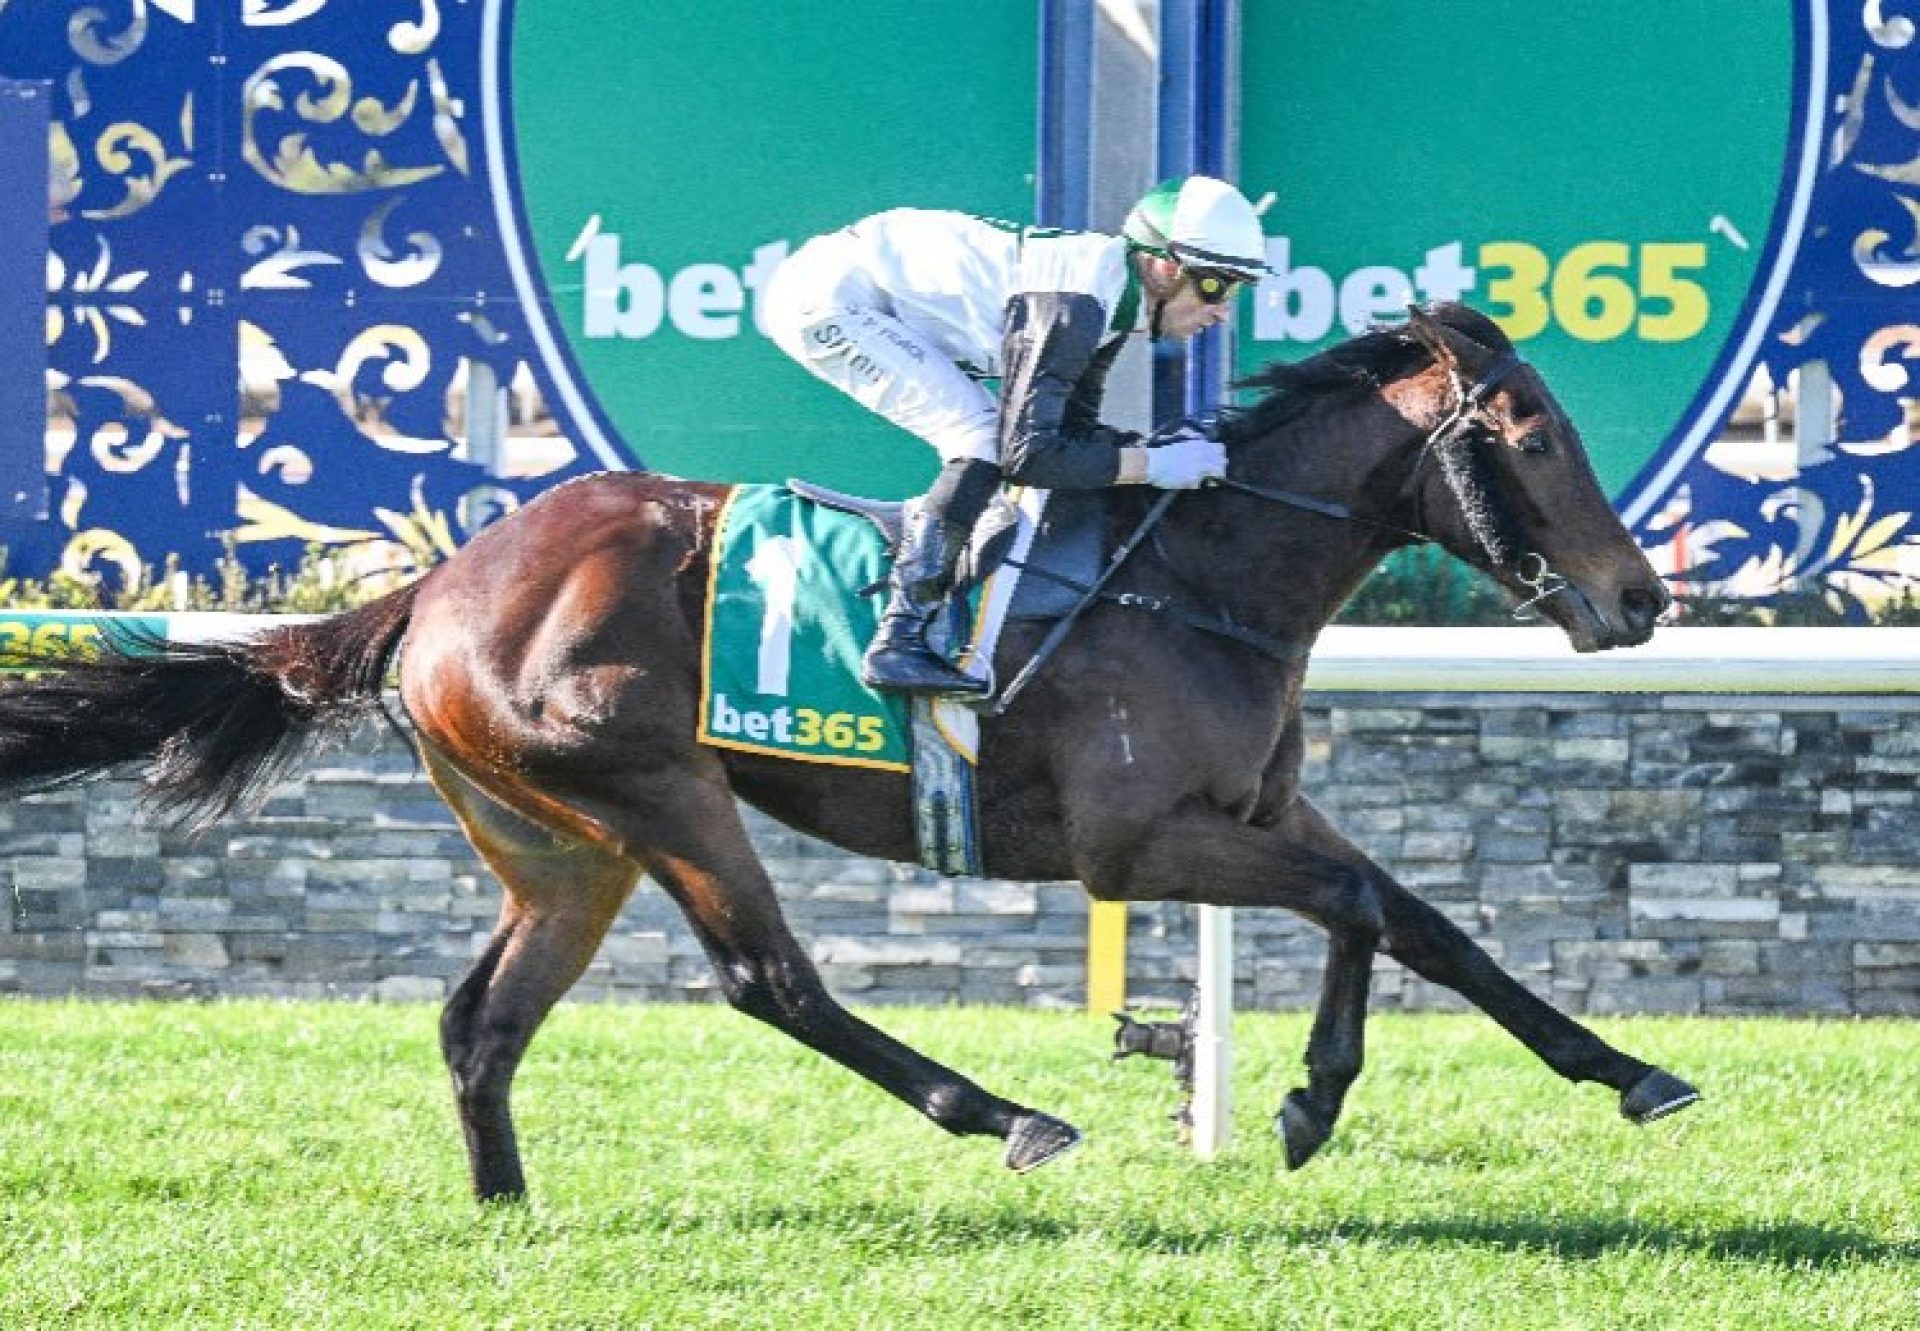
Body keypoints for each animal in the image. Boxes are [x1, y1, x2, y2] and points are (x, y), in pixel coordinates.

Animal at [0, 305, 1689, 1198]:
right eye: (1529, 433)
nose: (1641, 598)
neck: (1197, 574)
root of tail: (441, 579)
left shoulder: (1262, 807)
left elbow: (1424, 918)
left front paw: (1628, 1069)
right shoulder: (1137, 844)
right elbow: (1356, 910)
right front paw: (1309, 1099)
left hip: (560, 847)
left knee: (482, 1020)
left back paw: (506, 1206)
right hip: (659, 789)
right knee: (773, 981)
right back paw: (1005, 1112)